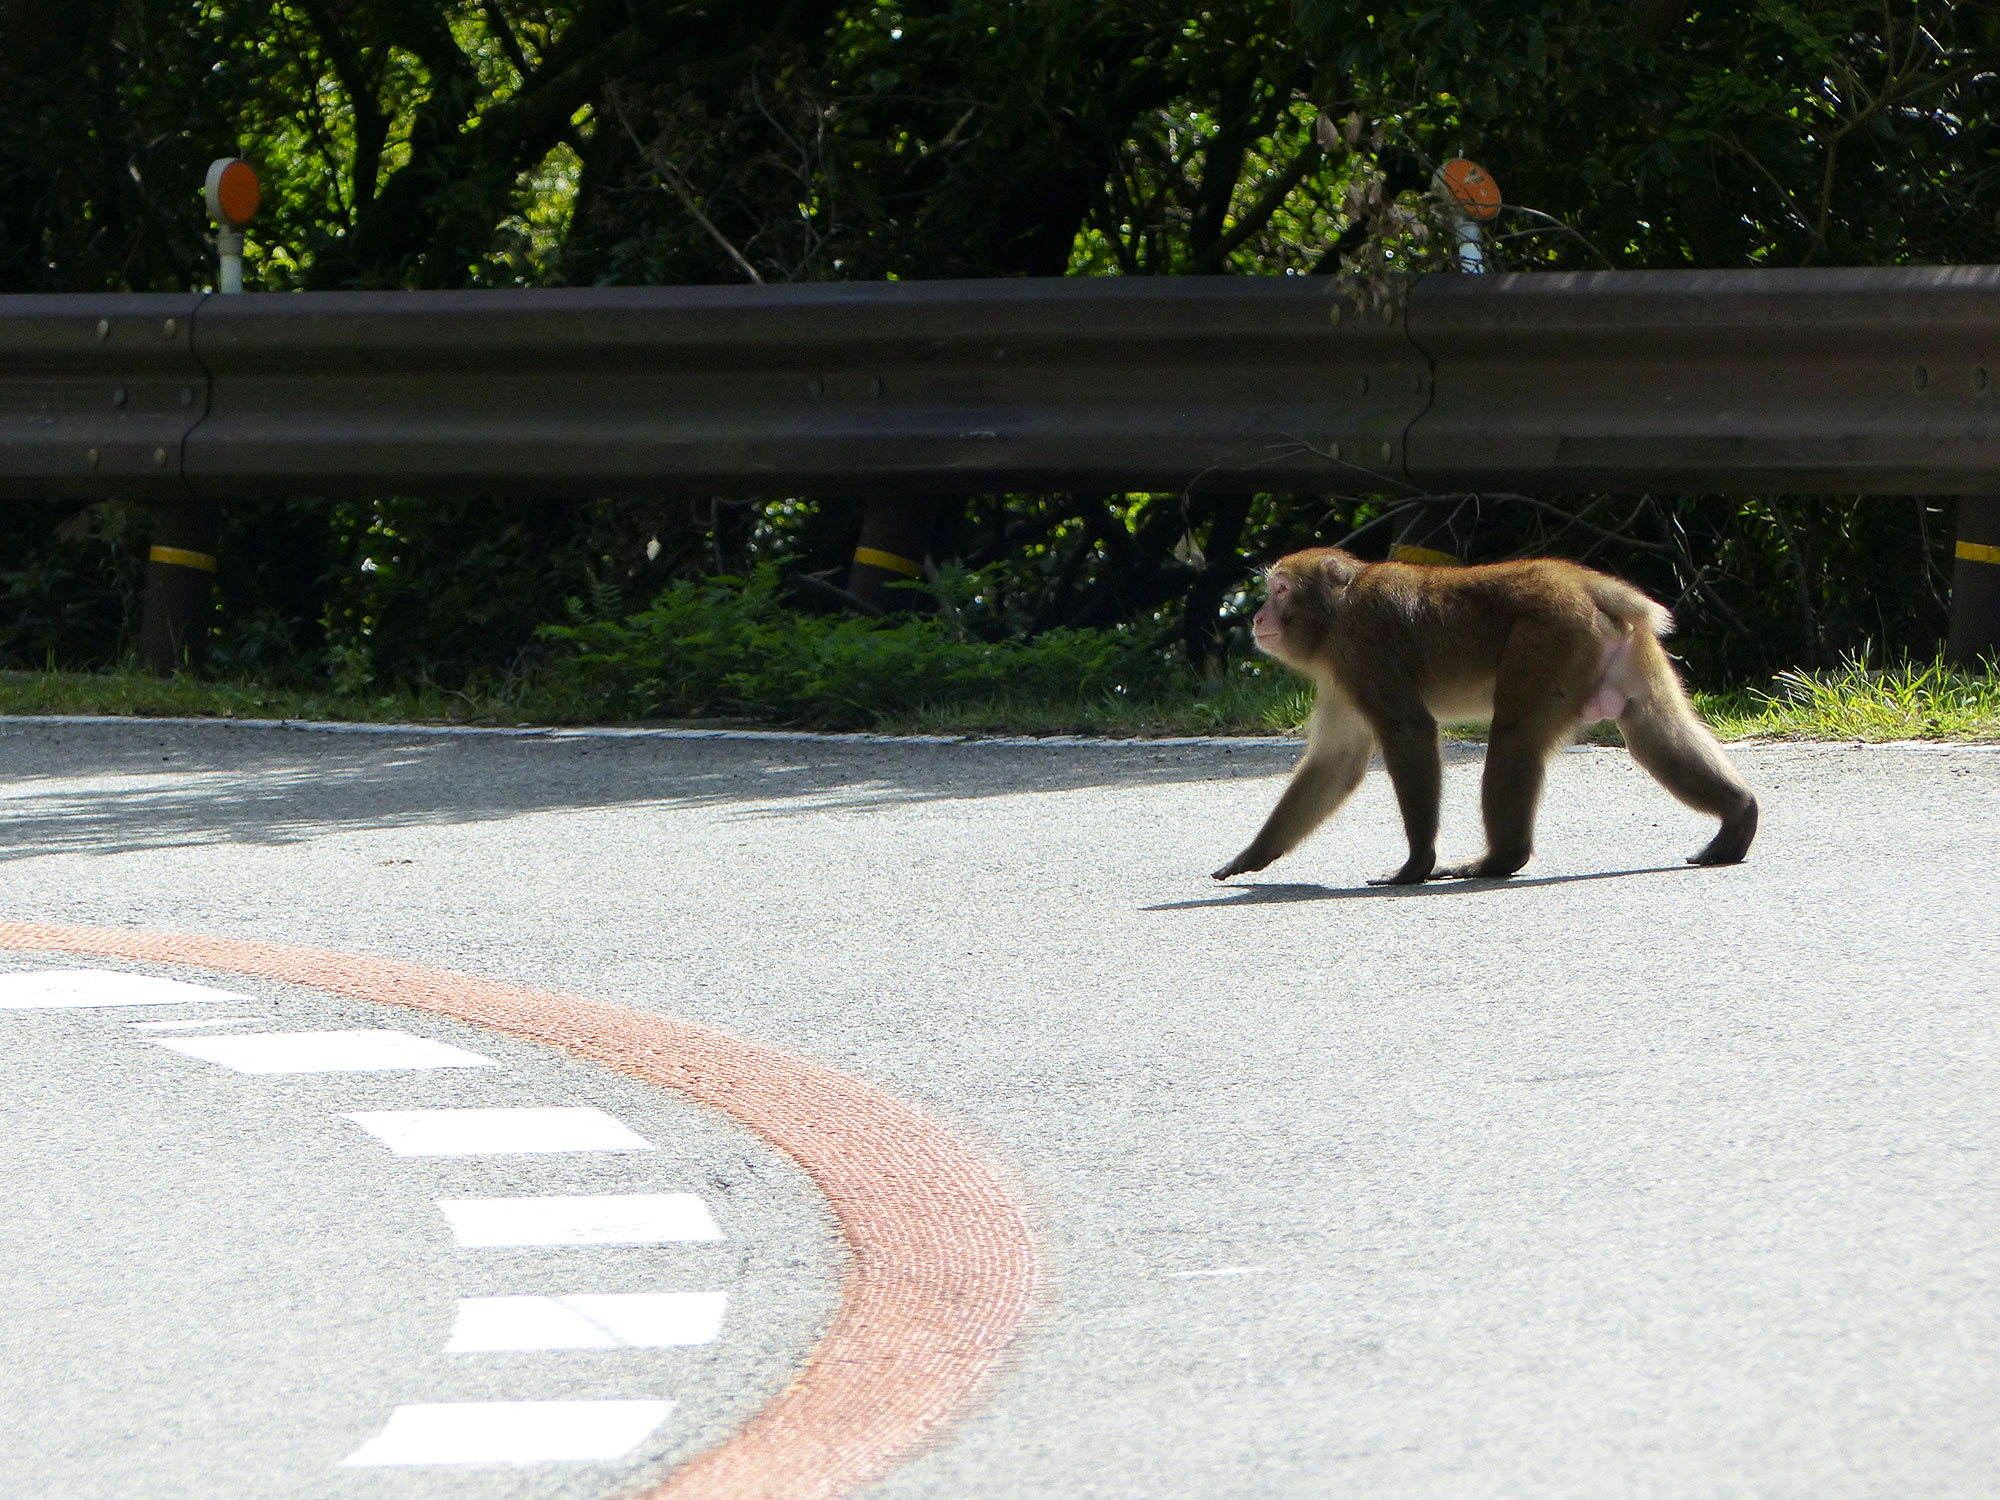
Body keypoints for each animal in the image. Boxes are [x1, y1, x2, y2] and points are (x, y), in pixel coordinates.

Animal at [1208, 548, 1760, 880]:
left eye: (1281, 590)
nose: (1257, 615)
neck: (1336, 613)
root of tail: (1583, 581)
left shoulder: (1359, 649)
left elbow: (1410, 730)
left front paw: (1415, 864)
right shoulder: (1340, 675)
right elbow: (1336, 762)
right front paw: (1252, 856)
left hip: (1550, 638)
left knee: (1514, 736)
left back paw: (1498, 860)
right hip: (1622, 649)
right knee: (1651, 726)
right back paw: (1739, 816)